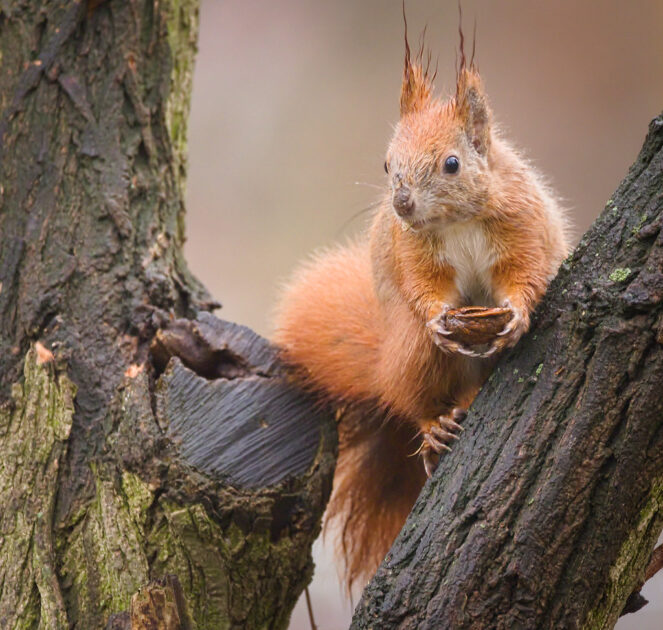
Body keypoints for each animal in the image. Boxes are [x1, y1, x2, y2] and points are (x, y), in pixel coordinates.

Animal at [273, 32, 569, 592]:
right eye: (387, 165)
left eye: (452, 163)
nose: (402, 204)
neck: (457, 221)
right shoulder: (413, 252)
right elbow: (423, 287)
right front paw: (437, 316)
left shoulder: (521, 225)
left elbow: (526, 272)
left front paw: (518, 315)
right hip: (414, 355)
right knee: (414, 401)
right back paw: (436, 425)